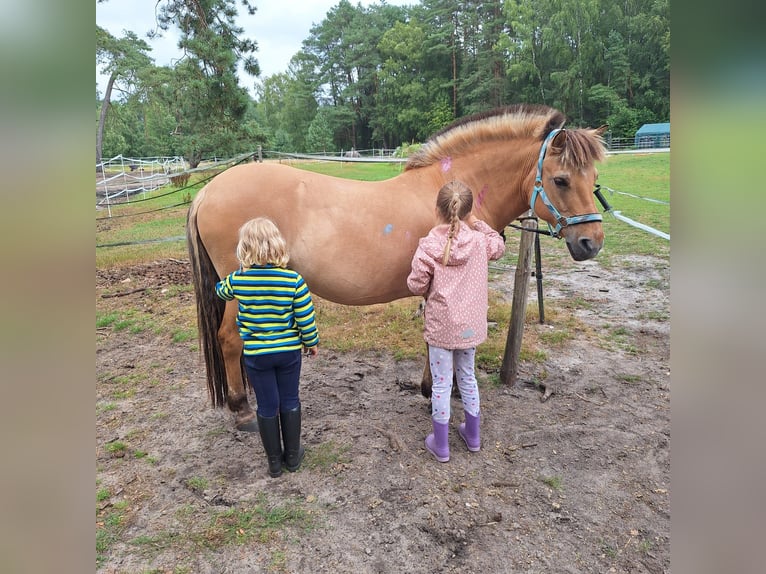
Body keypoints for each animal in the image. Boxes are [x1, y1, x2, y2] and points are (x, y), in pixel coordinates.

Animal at [186, 104, 607, 431]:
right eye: (560, 179)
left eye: (594, 179)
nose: (592, 242)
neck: (453, 193)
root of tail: (207, 191)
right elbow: (440, 339)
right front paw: (439, 391)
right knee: (229, 340)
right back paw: (242, 409)